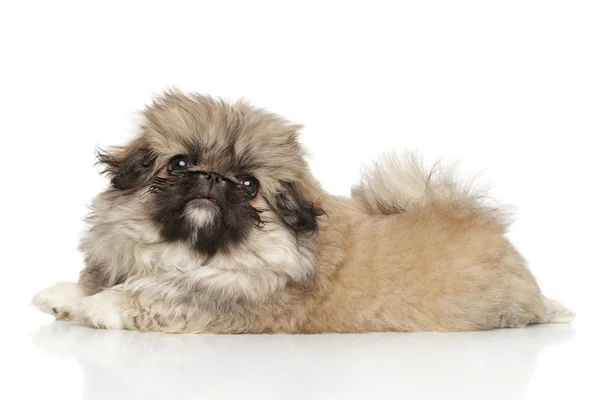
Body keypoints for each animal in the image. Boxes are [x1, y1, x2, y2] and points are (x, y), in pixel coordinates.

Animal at [30, 90, 576, 334]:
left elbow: (154, 295)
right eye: (180, 164)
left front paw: (99, 306)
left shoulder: (228, 301)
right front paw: (65, 297)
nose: (211, 179)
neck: (196, 255)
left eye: (249, 186)